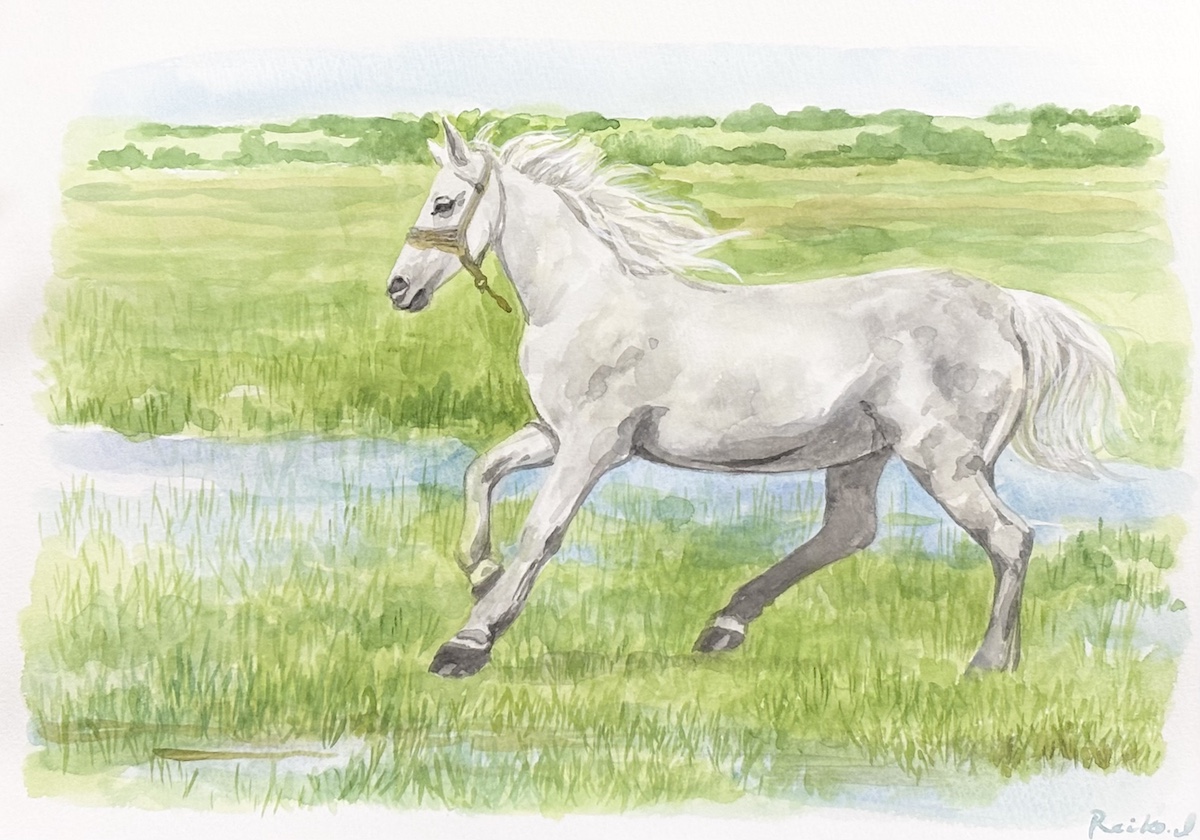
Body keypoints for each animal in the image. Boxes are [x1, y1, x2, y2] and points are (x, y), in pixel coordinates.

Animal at [386, 117, 1124, 679]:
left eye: (444, 203)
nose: (398, 290)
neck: (584, 301)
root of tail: (1007, 306)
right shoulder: (556, 434)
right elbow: (481, 470)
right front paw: (481, 571)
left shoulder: (594, 446)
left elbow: (543, 530)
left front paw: (466, 644)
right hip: (864, 452)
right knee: (851, 532)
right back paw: (725, 627)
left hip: (941, 459)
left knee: (1010, 538)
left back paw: (989, 663)